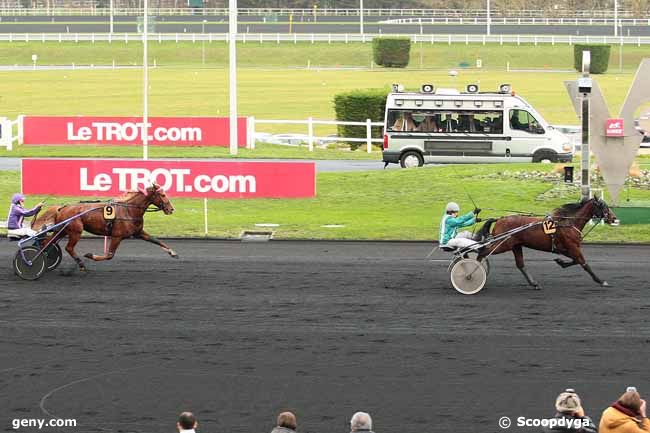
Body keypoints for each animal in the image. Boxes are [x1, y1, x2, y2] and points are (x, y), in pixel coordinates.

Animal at [32, 183, 176, 270]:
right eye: (163, 195)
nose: (171, 209)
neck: (129, 210)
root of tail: (62, 208)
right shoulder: (117, 236)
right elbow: (109, 255)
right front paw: (90, 255)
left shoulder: (138, 232)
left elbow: (156, 240)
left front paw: (172, 252)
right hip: (75, 231)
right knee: (68, 247)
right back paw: (81, 264)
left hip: (62, 231)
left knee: (47, 242)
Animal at [474, 197, 616, 288]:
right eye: (604, 206)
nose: (614, 218)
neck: (568, 223)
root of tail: (499, 219)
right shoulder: (573, 247)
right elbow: (584, 263)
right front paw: (601, 281)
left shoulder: (565, 249)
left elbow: (576, 261)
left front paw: (561, 262)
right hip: (503, 244)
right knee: (482, 252)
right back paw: (474, 271)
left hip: (516, 246)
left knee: (520, 264)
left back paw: (534, 283)